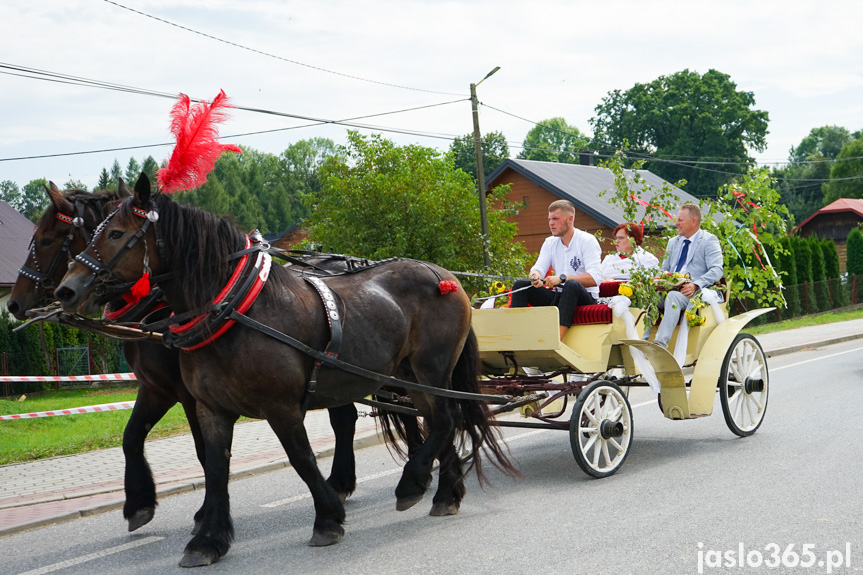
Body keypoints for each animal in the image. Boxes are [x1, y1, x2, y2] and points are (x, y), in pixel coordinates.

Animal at [6, 181, 412, 536]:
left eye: (45, 239)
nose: (14, 302)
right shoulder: (157, 389)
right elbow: (132, 437)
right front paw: (139, 504)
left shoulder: (188, 394)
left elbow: (204, 451)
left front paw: (204, 514)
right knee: (350, 417)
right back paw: (345, 482)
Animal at [57, 174, 516, 568]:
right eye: (92, 234)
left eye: (116, 234)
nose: (66, 289)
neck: (235, 312)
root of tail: (444, 275)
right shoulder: (209, 408)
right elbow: (215, 468)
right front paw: (208, 539)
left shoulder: (280, 406)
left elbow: (302, 459)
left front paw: (329, 517)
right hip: (409, 376)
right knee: (440, 419)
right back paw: (443, 493)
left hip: (431, 368)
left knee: (447, 418)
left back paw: (412, 483)